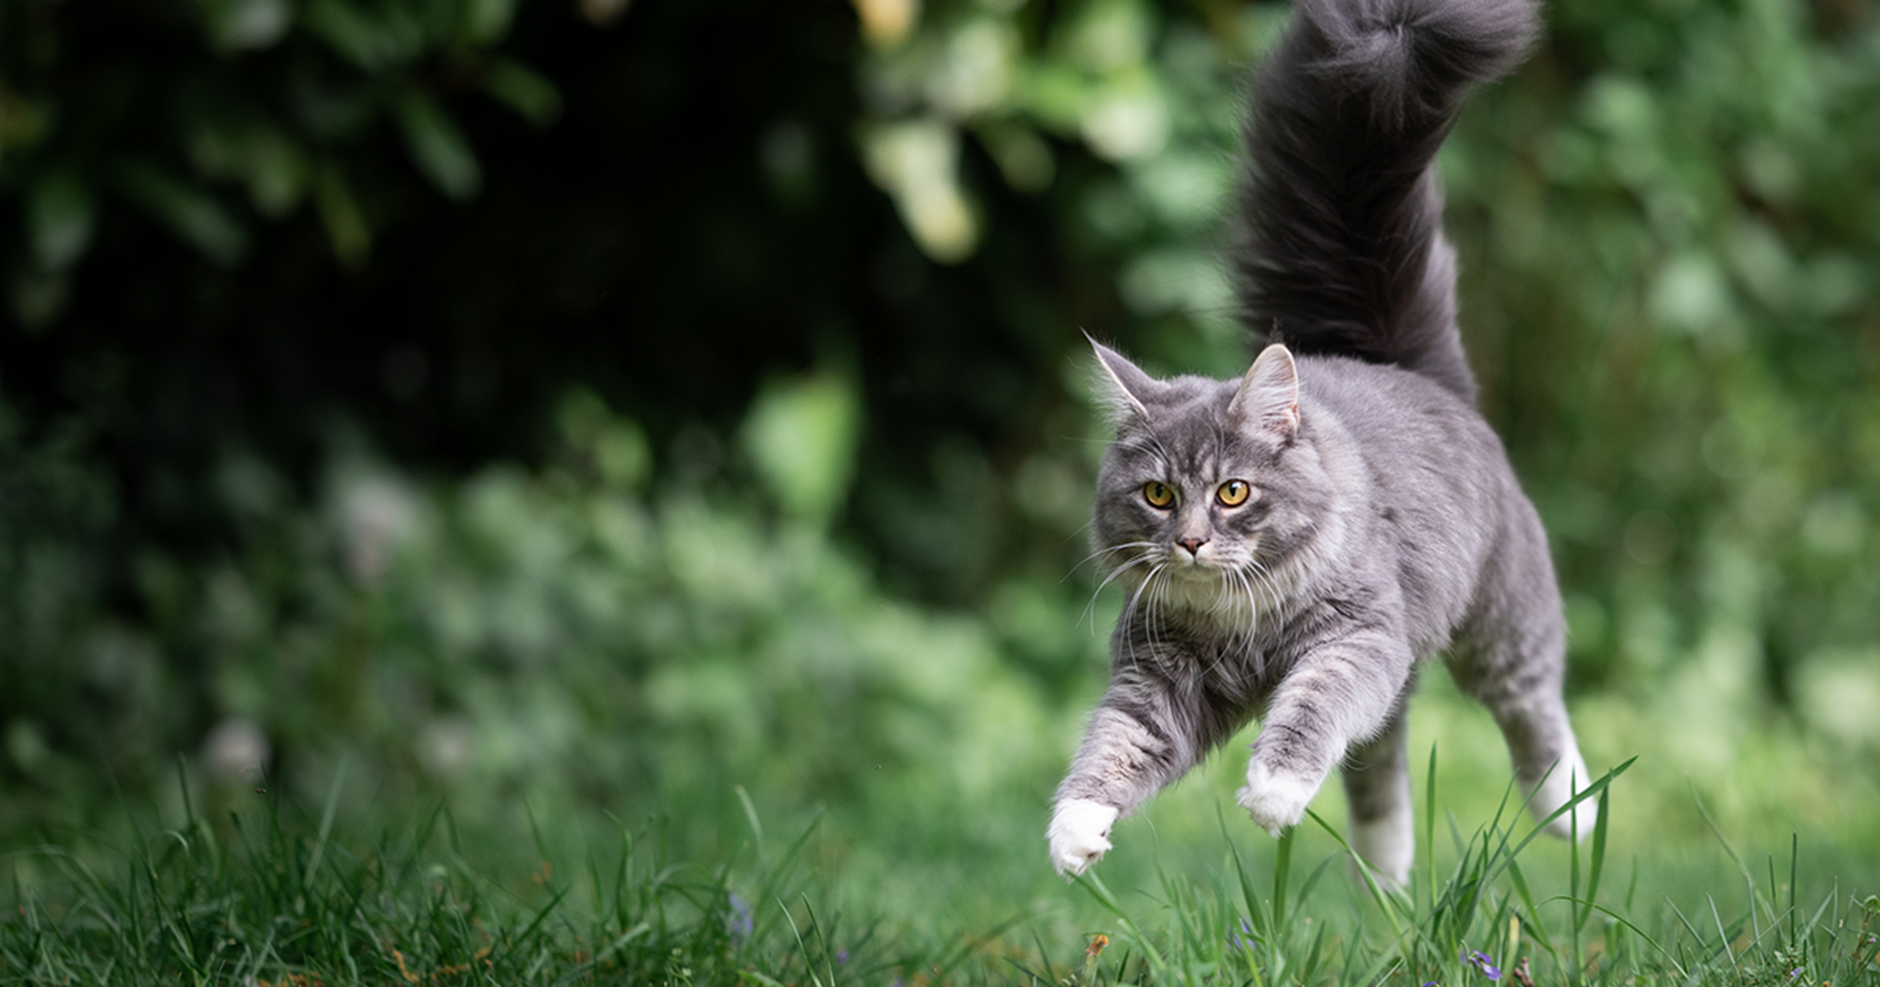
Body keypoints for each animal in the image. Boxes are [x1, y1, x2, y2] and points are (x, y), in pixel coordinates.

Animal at [1052, 0, 1594, 883]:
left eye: (1232, 491)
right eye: (1159, 494)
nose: (1191, 541)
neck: (1236, 621)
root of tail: (1399, 361)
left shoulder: (1358, 638)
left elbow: (1311, 710)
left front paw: (1272, 792)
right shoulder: (1156, 678)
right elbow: (1115, 744)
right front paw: (1075, 831)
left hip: (1502, 617)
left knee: (1530, 705)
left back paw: (1572, 812)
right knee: (1382, 755)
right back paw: (1384, 872)